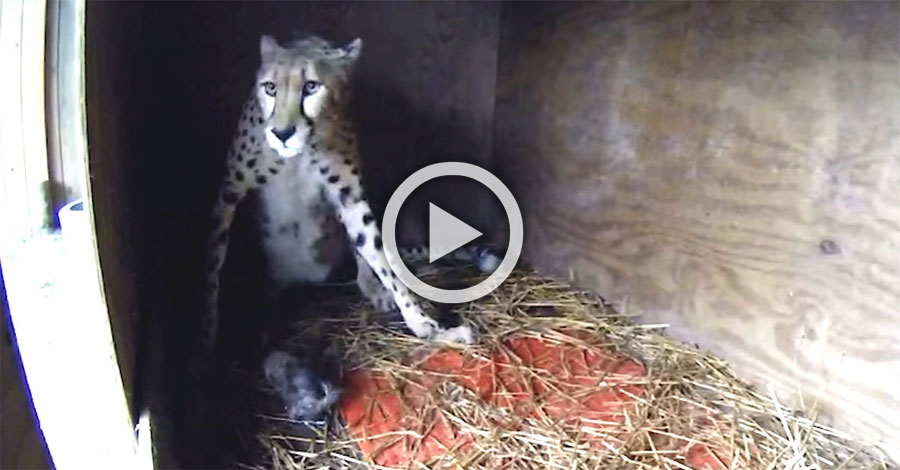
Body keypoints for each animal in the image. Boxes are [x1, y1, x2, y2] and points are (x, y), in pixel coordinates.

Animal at [199, 34, 478, 356]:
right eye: (270, 87)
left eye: (311, 86)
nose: (282, 133)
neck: (300, 153)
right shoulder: (228, 196)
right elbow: (212, 267)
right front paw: (205, 337)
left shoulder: (350, 198)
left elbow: (381, 256)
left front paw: (423, 323)